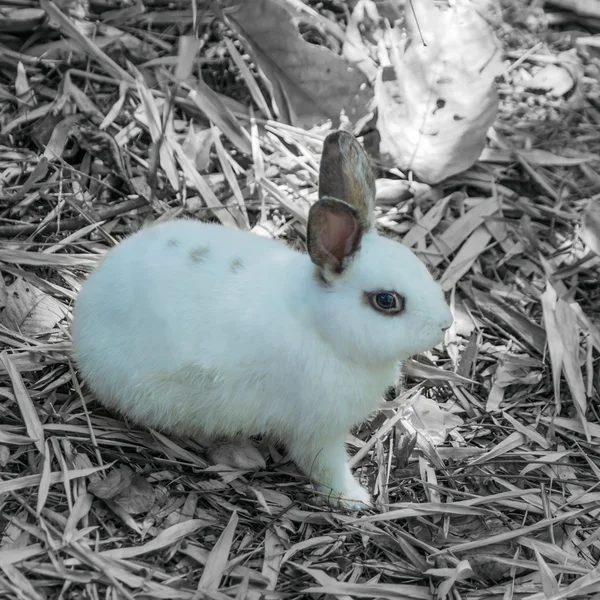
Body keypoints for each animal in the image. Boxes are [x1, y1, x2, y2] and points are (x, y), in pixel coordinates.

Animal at [70, 129, 452, 508]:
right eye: (386, 301)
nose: (445, 324)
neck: (320, 327)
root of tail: (82, 318)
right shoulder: (317, 432)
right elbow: (324, 467)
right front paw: (354, 499)